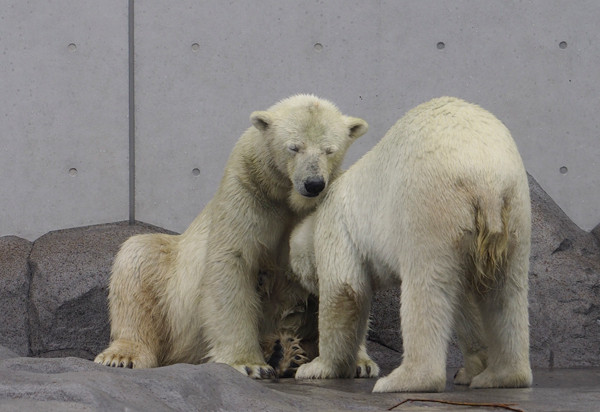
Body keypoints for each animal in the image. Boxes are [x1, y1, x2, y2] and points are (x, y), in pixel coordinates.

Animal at [94, 95, 368, 378]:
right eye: (294, 147)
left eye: (329, 150)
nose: (313, 184)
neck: (286, 194)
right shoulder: (247, 190)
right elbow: (231, 264)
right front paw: (248, 363)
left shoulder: (330, 203)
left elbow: (339, 276)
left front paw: (360, 363)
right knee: (138, 260)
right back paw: (122, 355)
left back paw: (286, 353)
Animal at [292, 97, 532, 392]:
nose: (308, 292)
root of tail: (486, 178)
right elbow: (466, 301)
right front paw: (471, 369)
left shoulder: (339, 228)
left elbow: (345, 290)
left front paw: (316, 367)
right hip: (514, 209)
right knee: (507, 290)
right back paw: (501, 375)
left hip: (429, 205)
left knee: (425, 288)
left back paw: (403, 379)